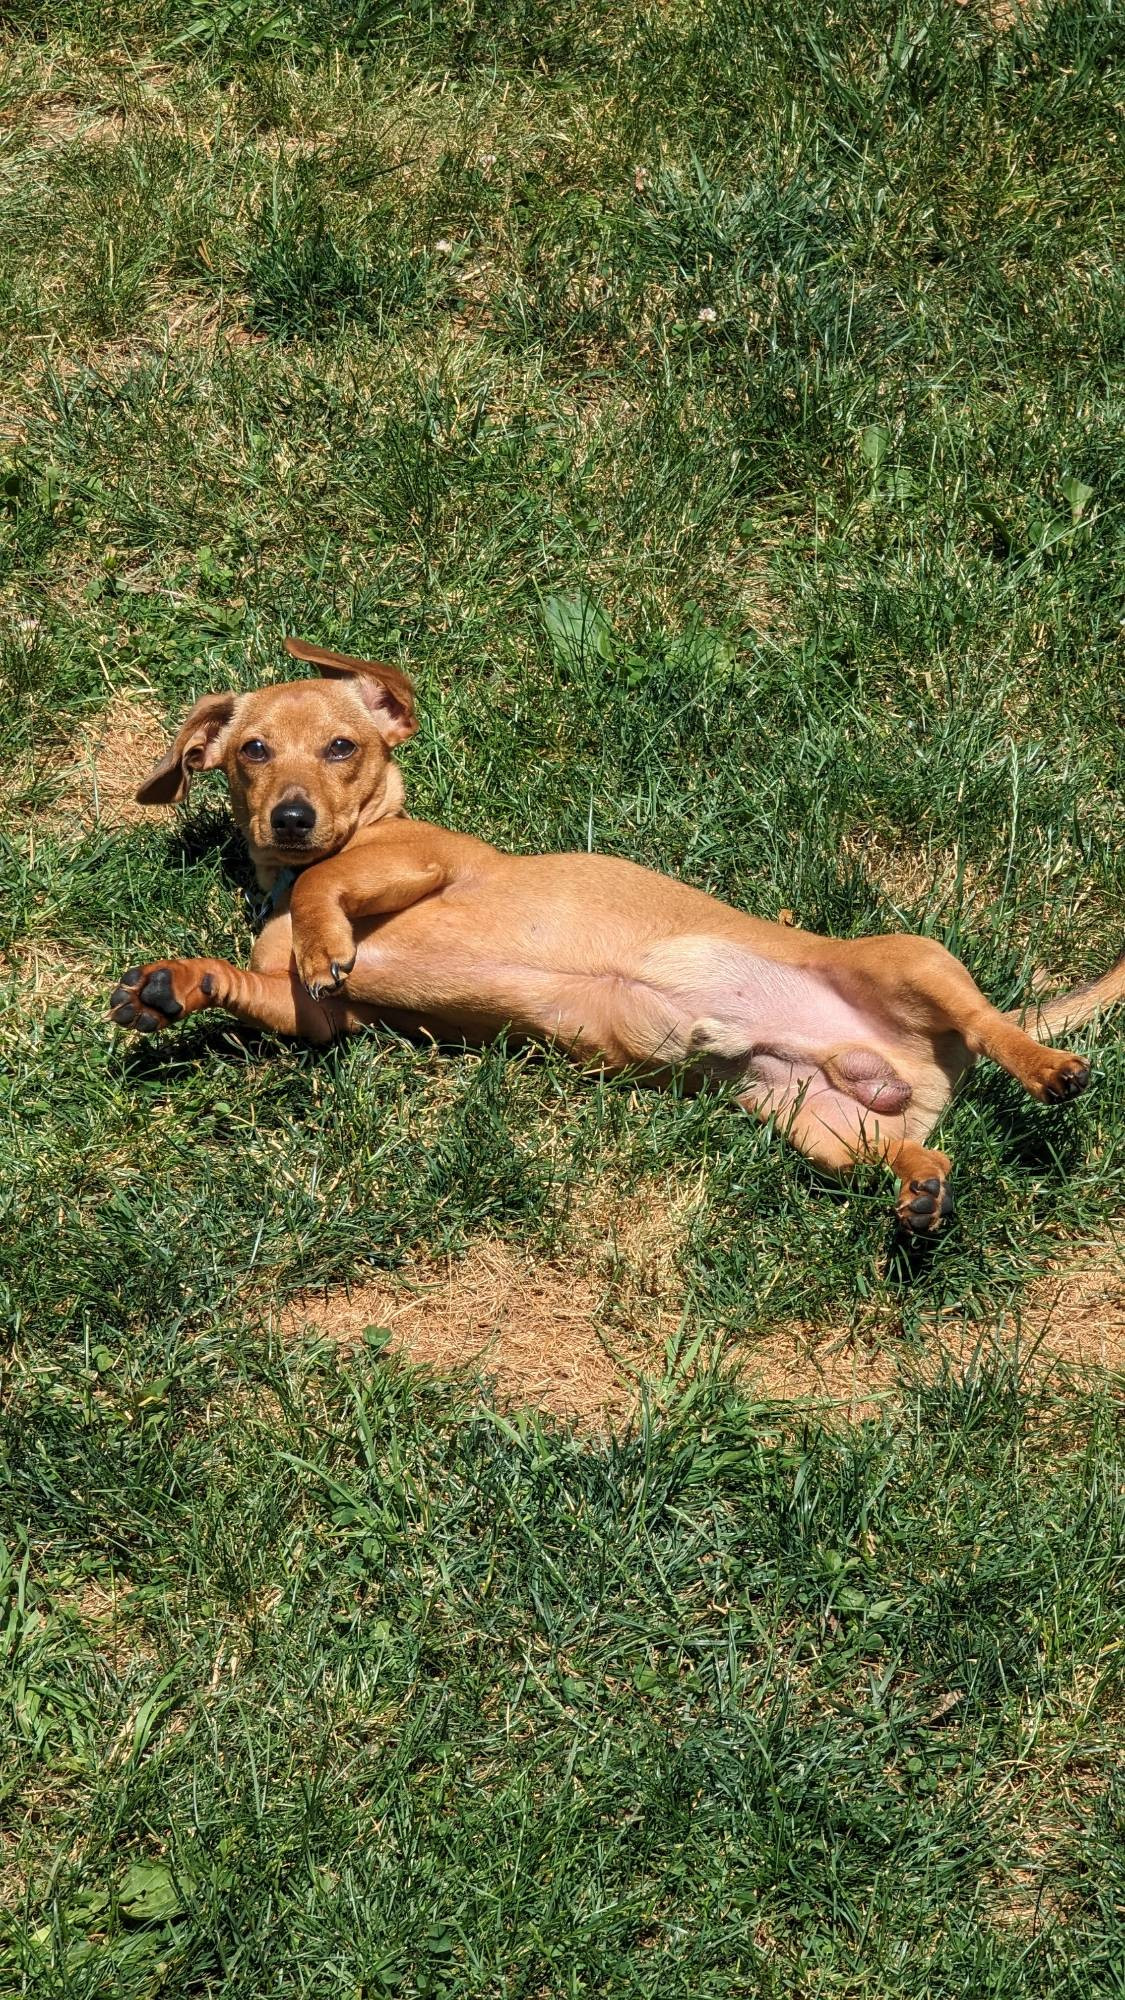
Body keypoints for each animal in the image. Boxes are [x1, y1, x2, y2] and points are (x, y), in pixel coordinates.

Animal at [109, 640, 1112, 1232]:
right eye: (252, 751)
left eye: (342, 748)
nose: (290, 819)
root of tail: (918, 1062)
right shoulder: (325, 1022)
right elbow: (261, 986)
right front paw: (176, 985)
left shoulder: (427, 867)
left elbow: (329, 881)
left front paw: (319, 939)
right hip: (816, 1123)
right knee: (911, 1151)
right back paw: (921, 1189)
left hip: (909, 958)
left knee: (992, 1022)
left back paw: (1046, 1067)